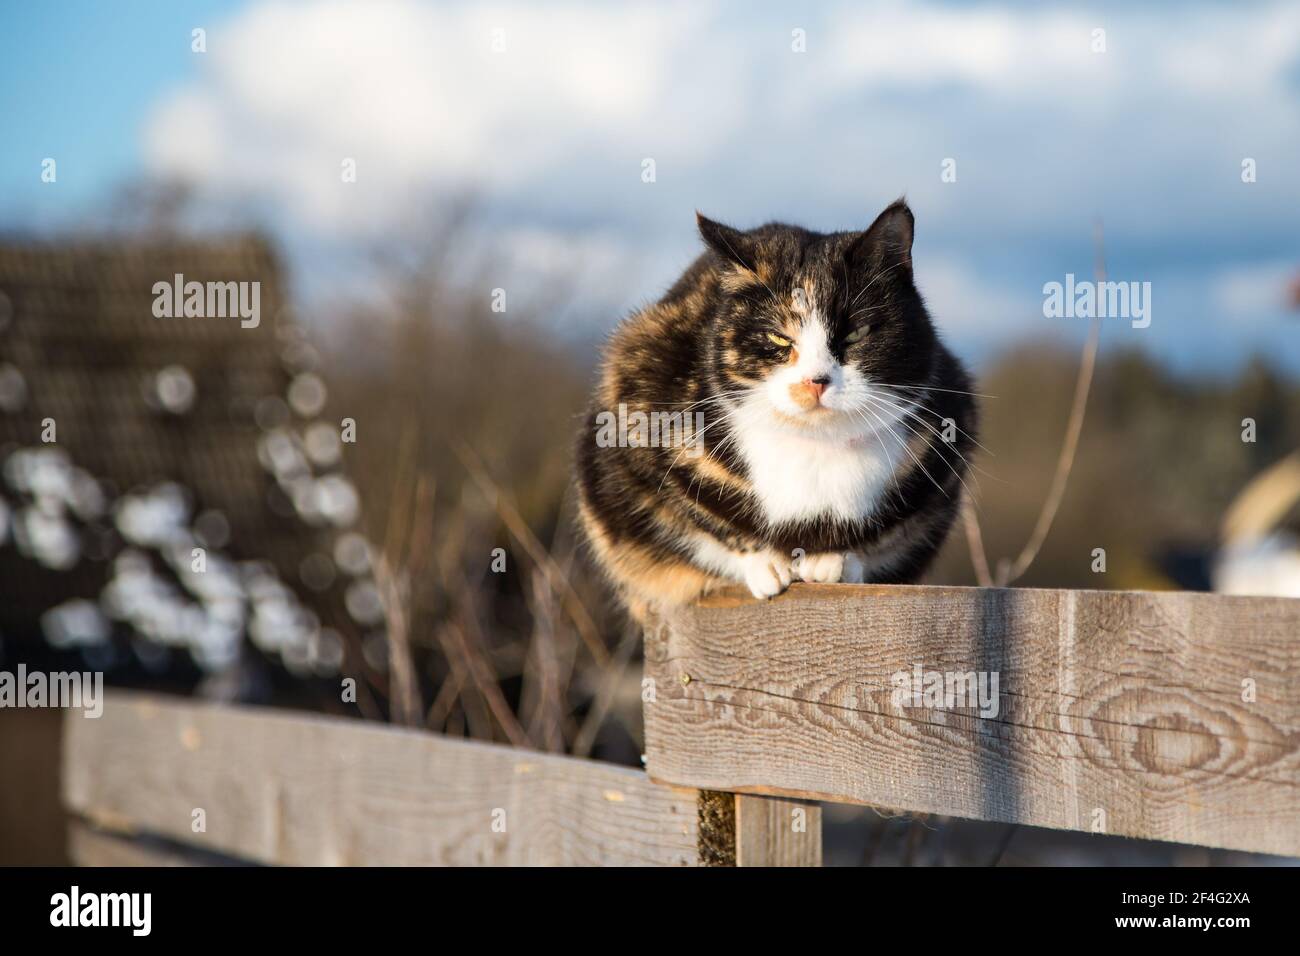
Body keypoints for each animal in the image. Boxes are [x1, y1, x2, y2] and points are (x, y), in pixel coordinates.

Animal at [577, 197, 977, 624]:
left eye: (856, 333)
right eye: (778, 337)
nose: (816, 381)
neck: (815, 449)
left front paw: (834, 561)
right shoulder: (633, 409)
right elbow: (698, 522)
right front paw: (764, 563)